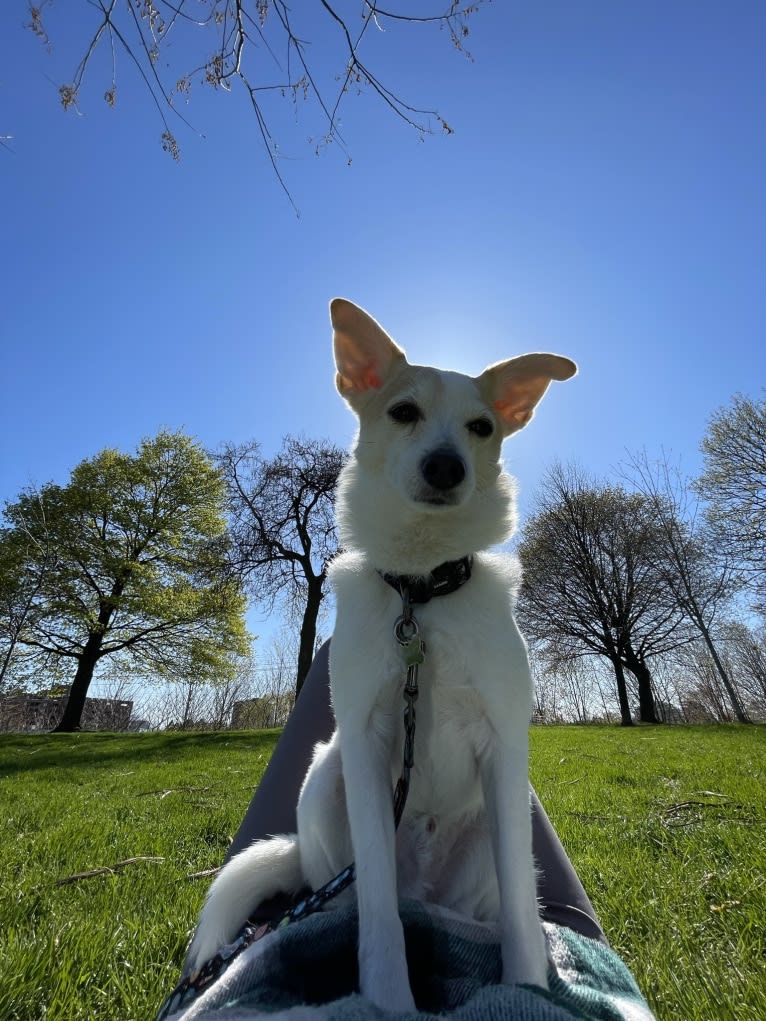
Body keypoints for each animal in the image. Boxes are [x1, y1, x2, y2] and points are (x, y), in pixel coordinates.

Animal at [185, 298, 580, 1012]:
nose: (447, 466)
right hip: (325, 775)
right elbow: (375, 907)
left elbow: (520, 910)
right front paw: (389, 996)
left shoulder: (504, 748)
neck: (420, 593)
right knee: (349, 896)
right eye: (403, 412)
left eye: (482, 427)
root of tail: (425, 892)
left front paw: (528, 986)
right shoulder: (366, 746)